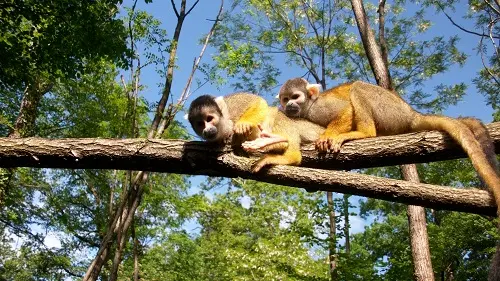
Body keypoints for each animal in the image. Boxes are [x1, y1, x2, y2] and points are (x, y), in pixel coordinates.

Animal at [188, 92, 324, 171]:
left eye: (209, 119)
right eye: (200, 124)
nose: (207, 130)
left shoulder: (231, 106)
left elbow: (258, 101)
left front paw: (243, 124)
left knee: (274, 114)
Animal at [278, 76, 500, 208]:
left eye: (296, 96)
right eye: (285, 99)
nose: (289, 105)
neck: (306, 109)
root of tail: (412, 114)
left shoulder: (319, 108)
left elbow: (345, 110)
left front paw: (327, 136)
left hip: (390, 110)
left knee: (358, 88)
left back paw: (364, 133)